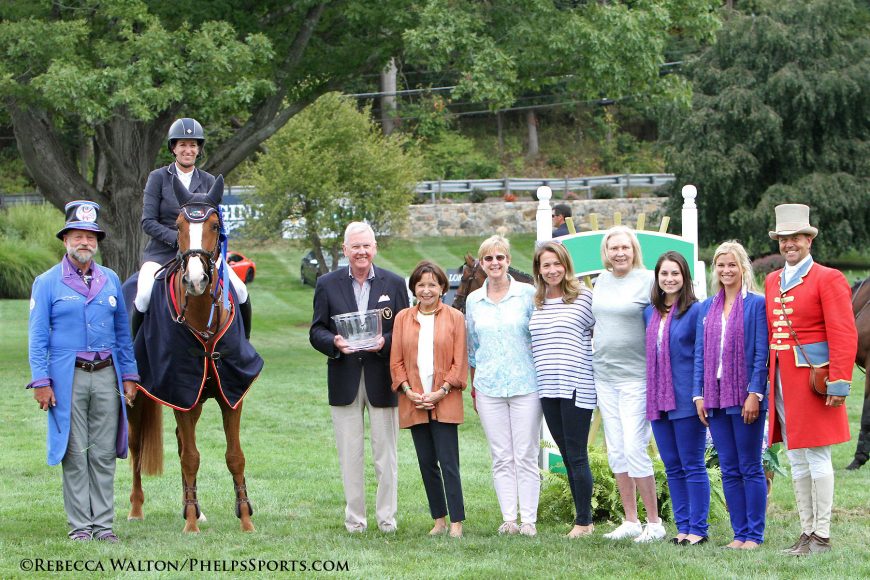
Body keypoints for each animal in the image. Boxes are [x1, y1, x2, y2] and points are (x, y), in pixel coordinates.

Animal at [126, 176, 262, 532]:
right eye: (178, 225)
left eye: (215, 225)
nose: (196, 279)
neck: (202, 317)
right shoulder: (180, 392)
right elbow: (191, 457)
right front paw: (190, 525)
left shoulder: (231, 394)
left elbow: (234, 456)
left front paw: (245, 519)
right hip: (139, 397)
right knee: (135, 445)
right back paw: (136, 509)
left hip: (196, 400)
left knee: (179, 442)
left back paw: (195, 508)